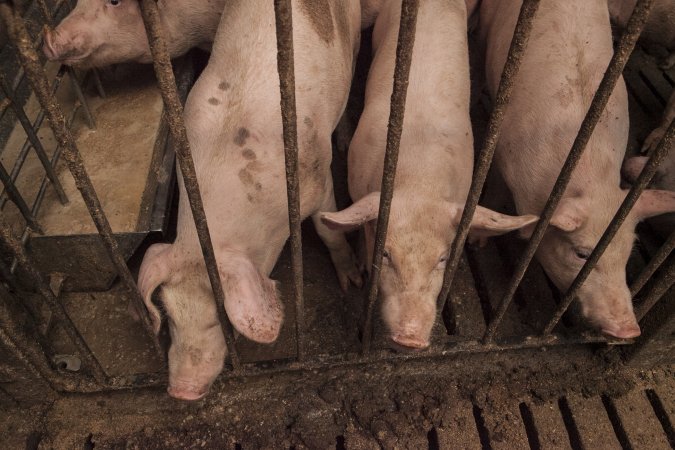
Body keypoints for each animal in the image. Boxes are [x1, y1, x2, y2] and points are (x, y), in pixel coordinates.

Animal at [136, 0, 364, 400]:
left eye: (222, 321)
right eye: (171, 316)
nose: (181, 391)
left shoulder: (317, 179)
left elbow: (328, 229)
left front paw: (351, 282)